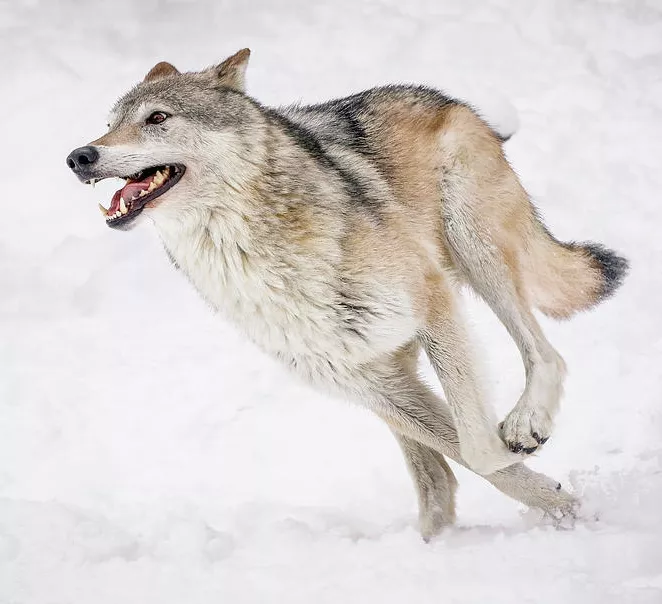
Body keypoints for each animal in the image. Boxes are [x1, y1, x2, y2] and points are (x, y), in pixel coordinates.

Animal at [66, 48, 628, 536]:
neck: (254, 255)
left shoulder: (433, 302)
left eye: (157, 118)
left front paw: (560, 499)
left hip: (473, 248)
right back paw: (435, 537)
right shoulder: (361, 379)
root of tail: (446, 100)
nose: (78, 155)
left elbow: (480, 448)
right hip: (389, 365)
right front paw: (561, 507)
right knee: (436, 478)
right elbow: (465, 455)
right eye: (111, 122)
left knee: (545, 353)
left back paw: (526, 424)